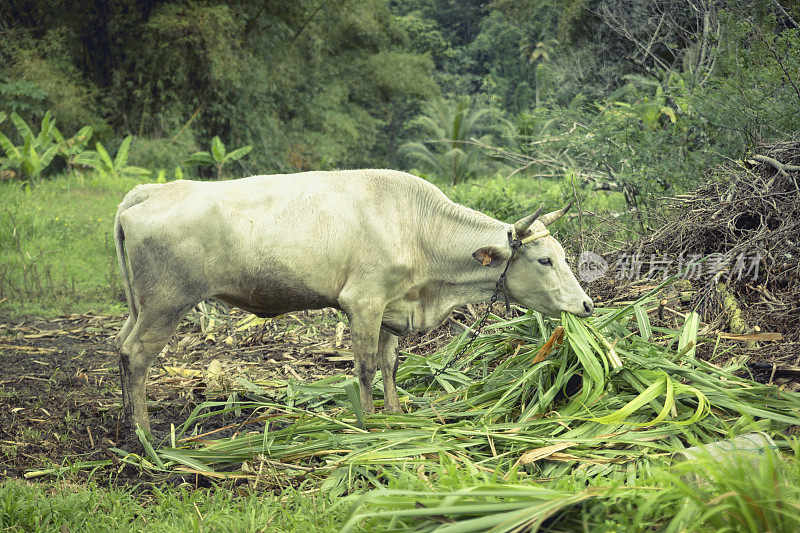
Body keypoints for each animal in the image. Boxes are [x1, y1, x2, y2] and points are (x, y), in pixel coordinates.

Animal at [115, 170, 592, 432]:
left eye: (564, 254)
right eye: (545, 260)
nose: (587, 306)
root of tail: (147, 192)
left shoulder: (392, 307)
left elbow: (389, 363)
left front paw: (396, 414)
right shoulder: (363, 301)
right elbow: (364, 366)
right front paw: (368, 421)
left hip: (140, 306)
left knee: (120, 348)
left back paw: (125, 421)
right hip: (166, 304)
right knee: (136, 355)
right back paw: (145, 436)